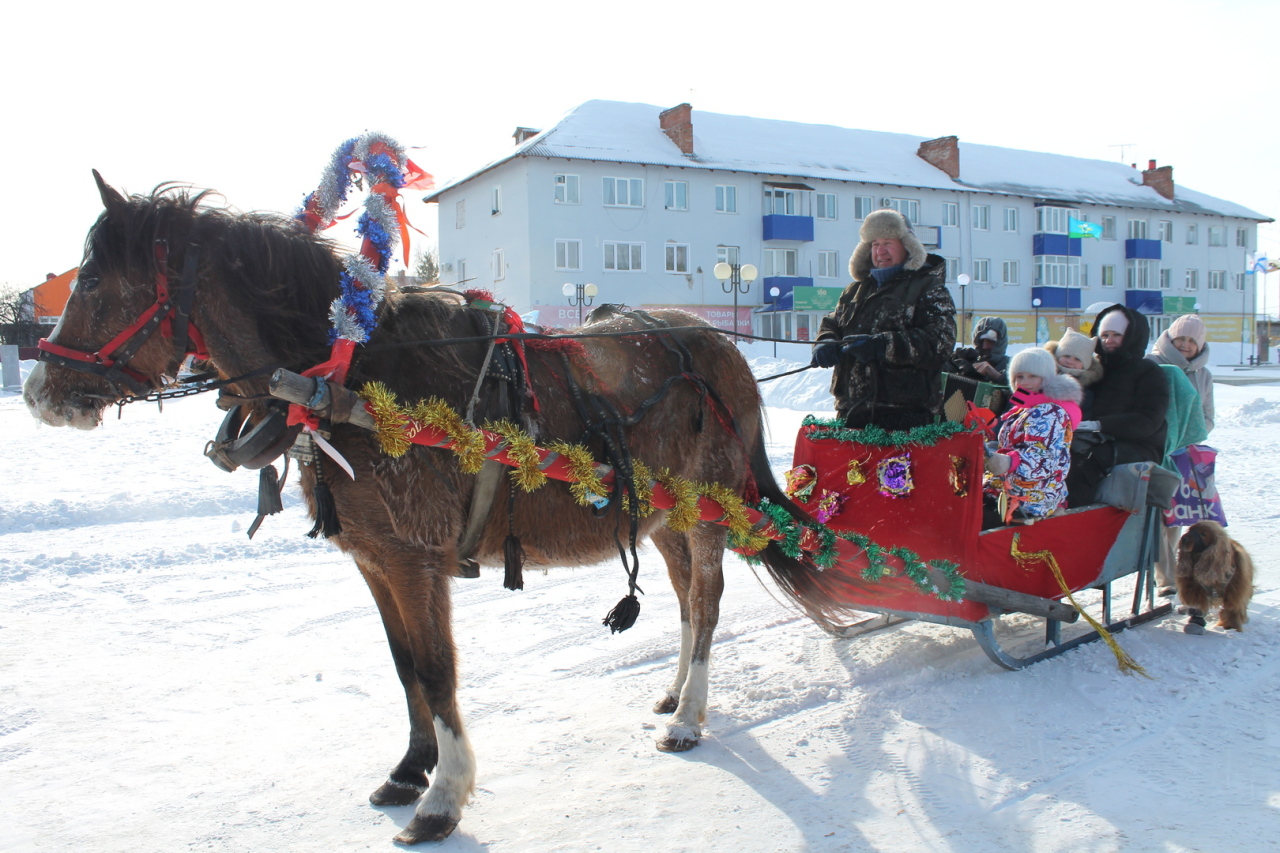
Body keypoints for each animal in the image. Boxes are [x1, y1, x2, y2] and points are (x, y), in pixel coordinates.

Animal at [24, 175, 861, 844]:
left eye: (93, 284)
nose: (38, 392)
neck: (350, 374)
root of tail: (723, 352)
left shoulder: (414, 556)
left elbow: (435, 666)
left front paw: (444, 794)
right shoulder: (373, 556)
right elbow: (404, 666)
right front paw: (410, 767)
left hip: (710, 508)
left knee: (709, 600)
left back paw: (691, 715)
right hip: (662, 517)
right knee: (687, 598)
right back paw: (675, 691)